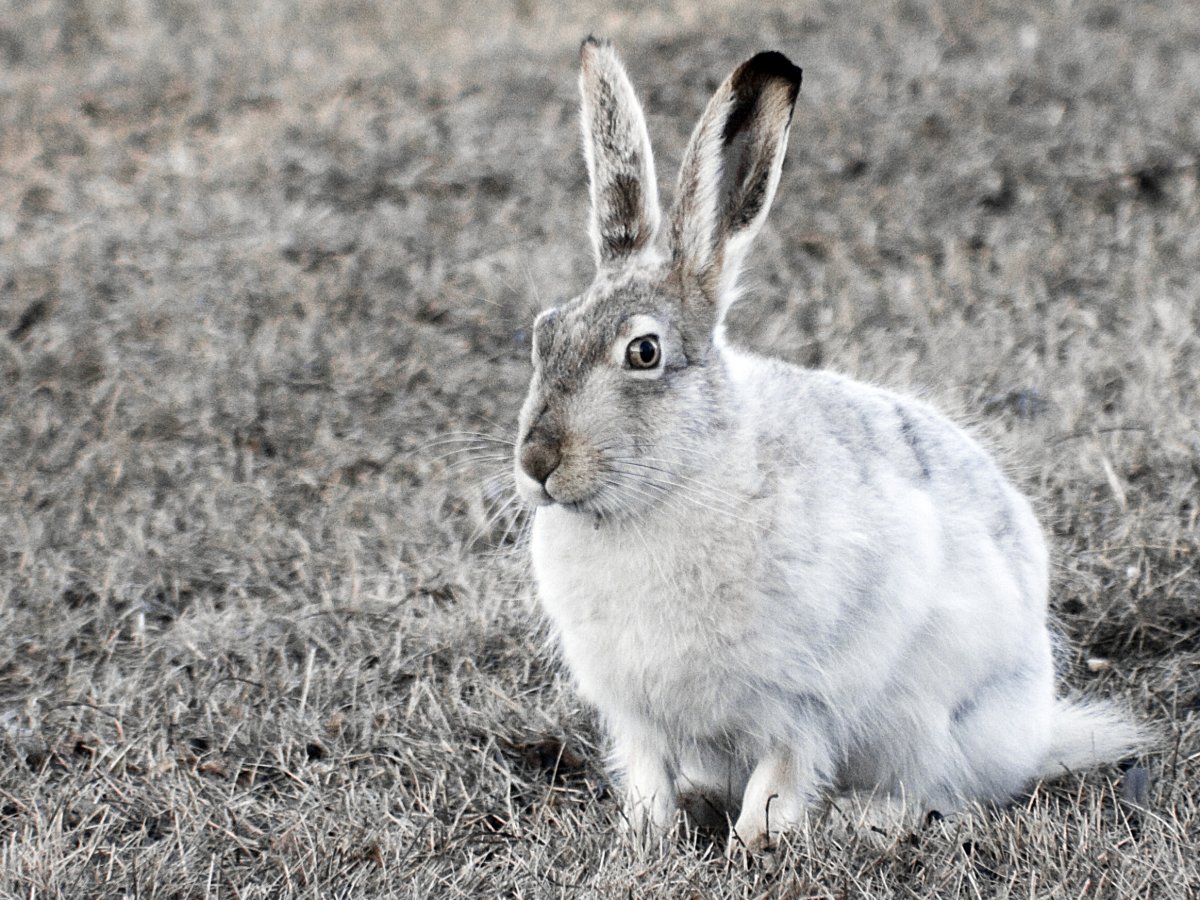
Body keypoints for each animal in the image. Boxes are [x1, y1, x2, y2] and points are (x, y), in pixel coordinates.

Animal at [512, 37, 1142, 850]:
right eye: (543, 333)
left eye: (644, 353)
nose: (537, 464)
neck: (673, 482)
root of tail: (1036, 734)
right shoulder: (637, 718)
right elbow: (649, 781)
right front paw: (647, 837)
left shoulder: (802, 705)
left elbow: (780, 777)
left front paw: (753, 844)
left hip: (931, 723)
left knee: (944, 795)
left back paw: (861, 818)